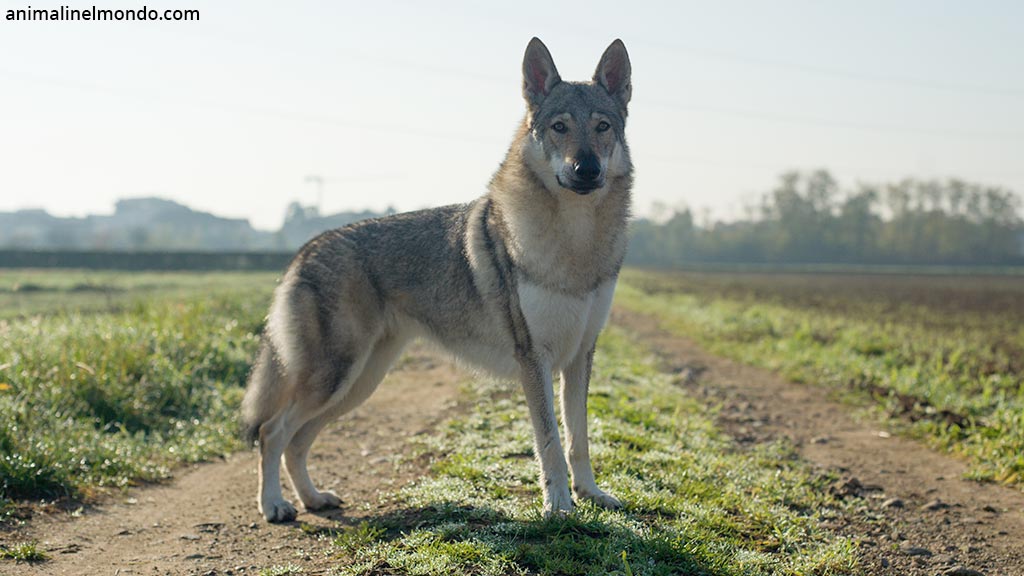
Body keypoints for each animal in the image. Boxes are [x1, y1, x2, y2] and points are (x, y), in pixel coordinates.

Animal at [241, 37, 633, 522]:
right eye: (560, 127)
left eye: (602, 127)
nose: (586, 169)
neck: (576, 242)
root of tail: (305, 249)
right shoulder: (534, 359)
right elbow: (551, 445)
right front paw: (559, 506)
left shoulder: (580, 355)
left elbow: (579, 441)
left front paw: (590, 494)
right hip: (335, 378)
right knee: (272, 431)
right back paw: (274, 506)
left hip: (357, 384)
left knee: (297, 440)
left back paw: (313, 499)